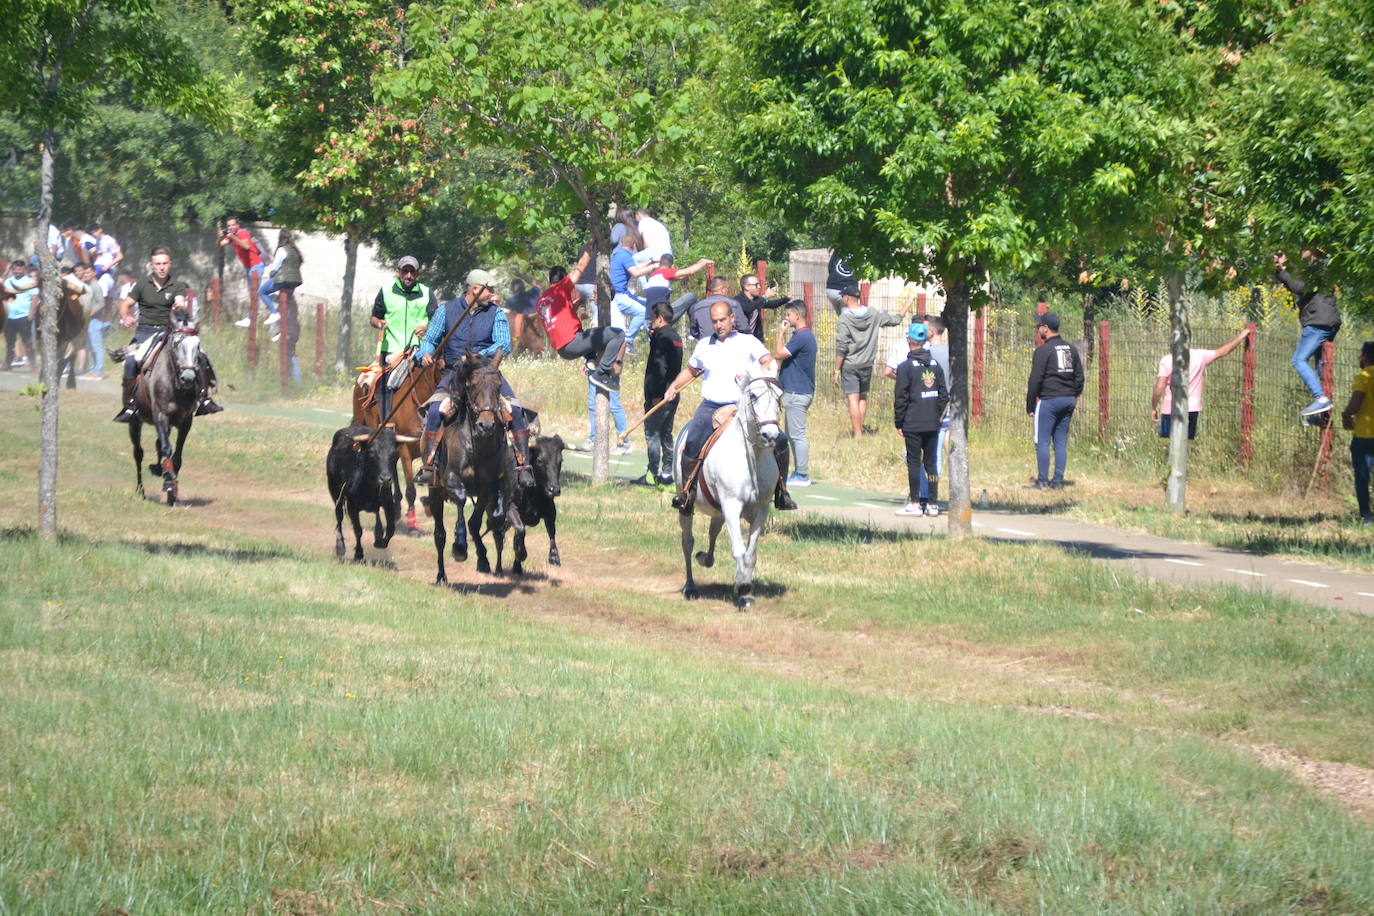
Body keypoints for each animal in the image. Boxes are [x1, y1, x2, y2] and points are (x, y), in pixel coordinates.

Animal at [324, 422, 414, 560]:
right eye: (372, 453)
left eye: (394, 454)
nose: (386, 479)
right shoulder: (351, 506)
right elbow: (358, 530)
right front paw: (358, 553)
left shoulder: (388, 503)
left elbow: (391, 529)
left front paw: (381, 543)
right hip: (335, 492)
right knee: (339, 516)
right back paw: (340, 547)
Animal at [516, 436, 563, 565]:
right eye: (540, 460)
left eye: (561, 460)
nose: (554, 489)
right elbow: (520, 532)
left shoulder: (551, 512)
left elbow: (552, 531)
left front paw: (554, 556)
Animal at [673, 359, 785, 609]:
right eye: (753, 395)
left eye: (779, 397)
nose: (770, 435)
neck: (751, 456)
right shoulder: (732, 505)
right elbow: (738, 548)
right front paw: (741, 587)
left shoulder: (760, 509)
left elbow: (751, 552)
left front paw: (746, 593)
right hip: (687, 506)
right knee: (687, 542)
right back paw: (690, 587)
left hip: (718, 510)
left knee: (712, 532)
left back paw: (706, 558)